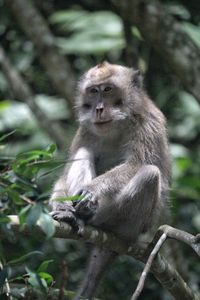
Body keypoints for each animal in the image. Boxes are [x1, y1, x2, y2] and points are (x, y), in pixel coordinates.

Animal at [49, 61, 170, 300]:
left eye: (107, 90)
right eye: (93, 91)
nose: (98, 108)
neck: (117, 125)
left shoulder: (146, 124)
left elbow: (137, 165)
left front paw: (91, 190)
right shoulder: (85, 130)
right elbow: (65, 175)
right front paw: (61, 205)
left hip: (128, 224)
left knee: (150, 174)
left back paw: (88, 216)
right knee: (84, 152)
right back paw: (73, 215)